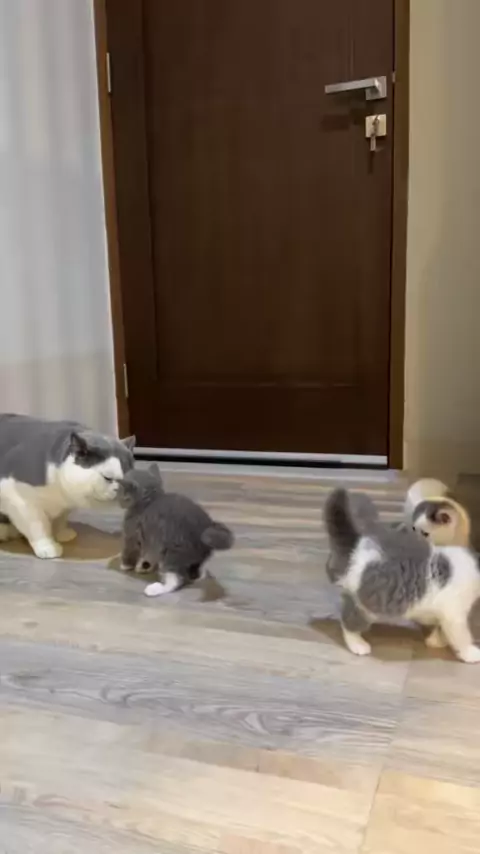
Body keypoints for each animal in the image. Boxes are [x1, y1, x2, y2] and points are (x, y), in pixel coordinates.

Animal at [0, 414, 135, 559]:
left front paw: (62, 533)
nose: (124, 491)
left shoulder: (65, 506)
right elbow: (38, 525)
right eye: (108, 478)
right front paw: (48, 547)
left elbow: (60, 519)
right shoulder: (19, 500)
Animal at [118, 464, 234, 596]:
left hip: (173, 552)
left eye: (119, 490)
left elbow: (130, 551)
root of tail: (205, 526)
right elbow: (146, 556)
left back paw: (156, 588)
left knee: (176, 581)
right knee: (195, 571)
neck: (151, 499)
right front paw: (144, 566)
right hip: (195, 556)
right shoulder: (148, 543)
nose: (117, 498)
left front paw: (126, 566)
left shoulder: (132, 534)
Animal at [324, 487, 480, 663]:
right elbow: (461, 636)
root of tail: (357, 545)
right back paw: (358, 645)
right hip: (368, 605)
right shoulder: (455, 613)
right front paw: (471, 653)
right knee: (348, 622)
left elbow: (441, 629)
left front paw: (436, 641)